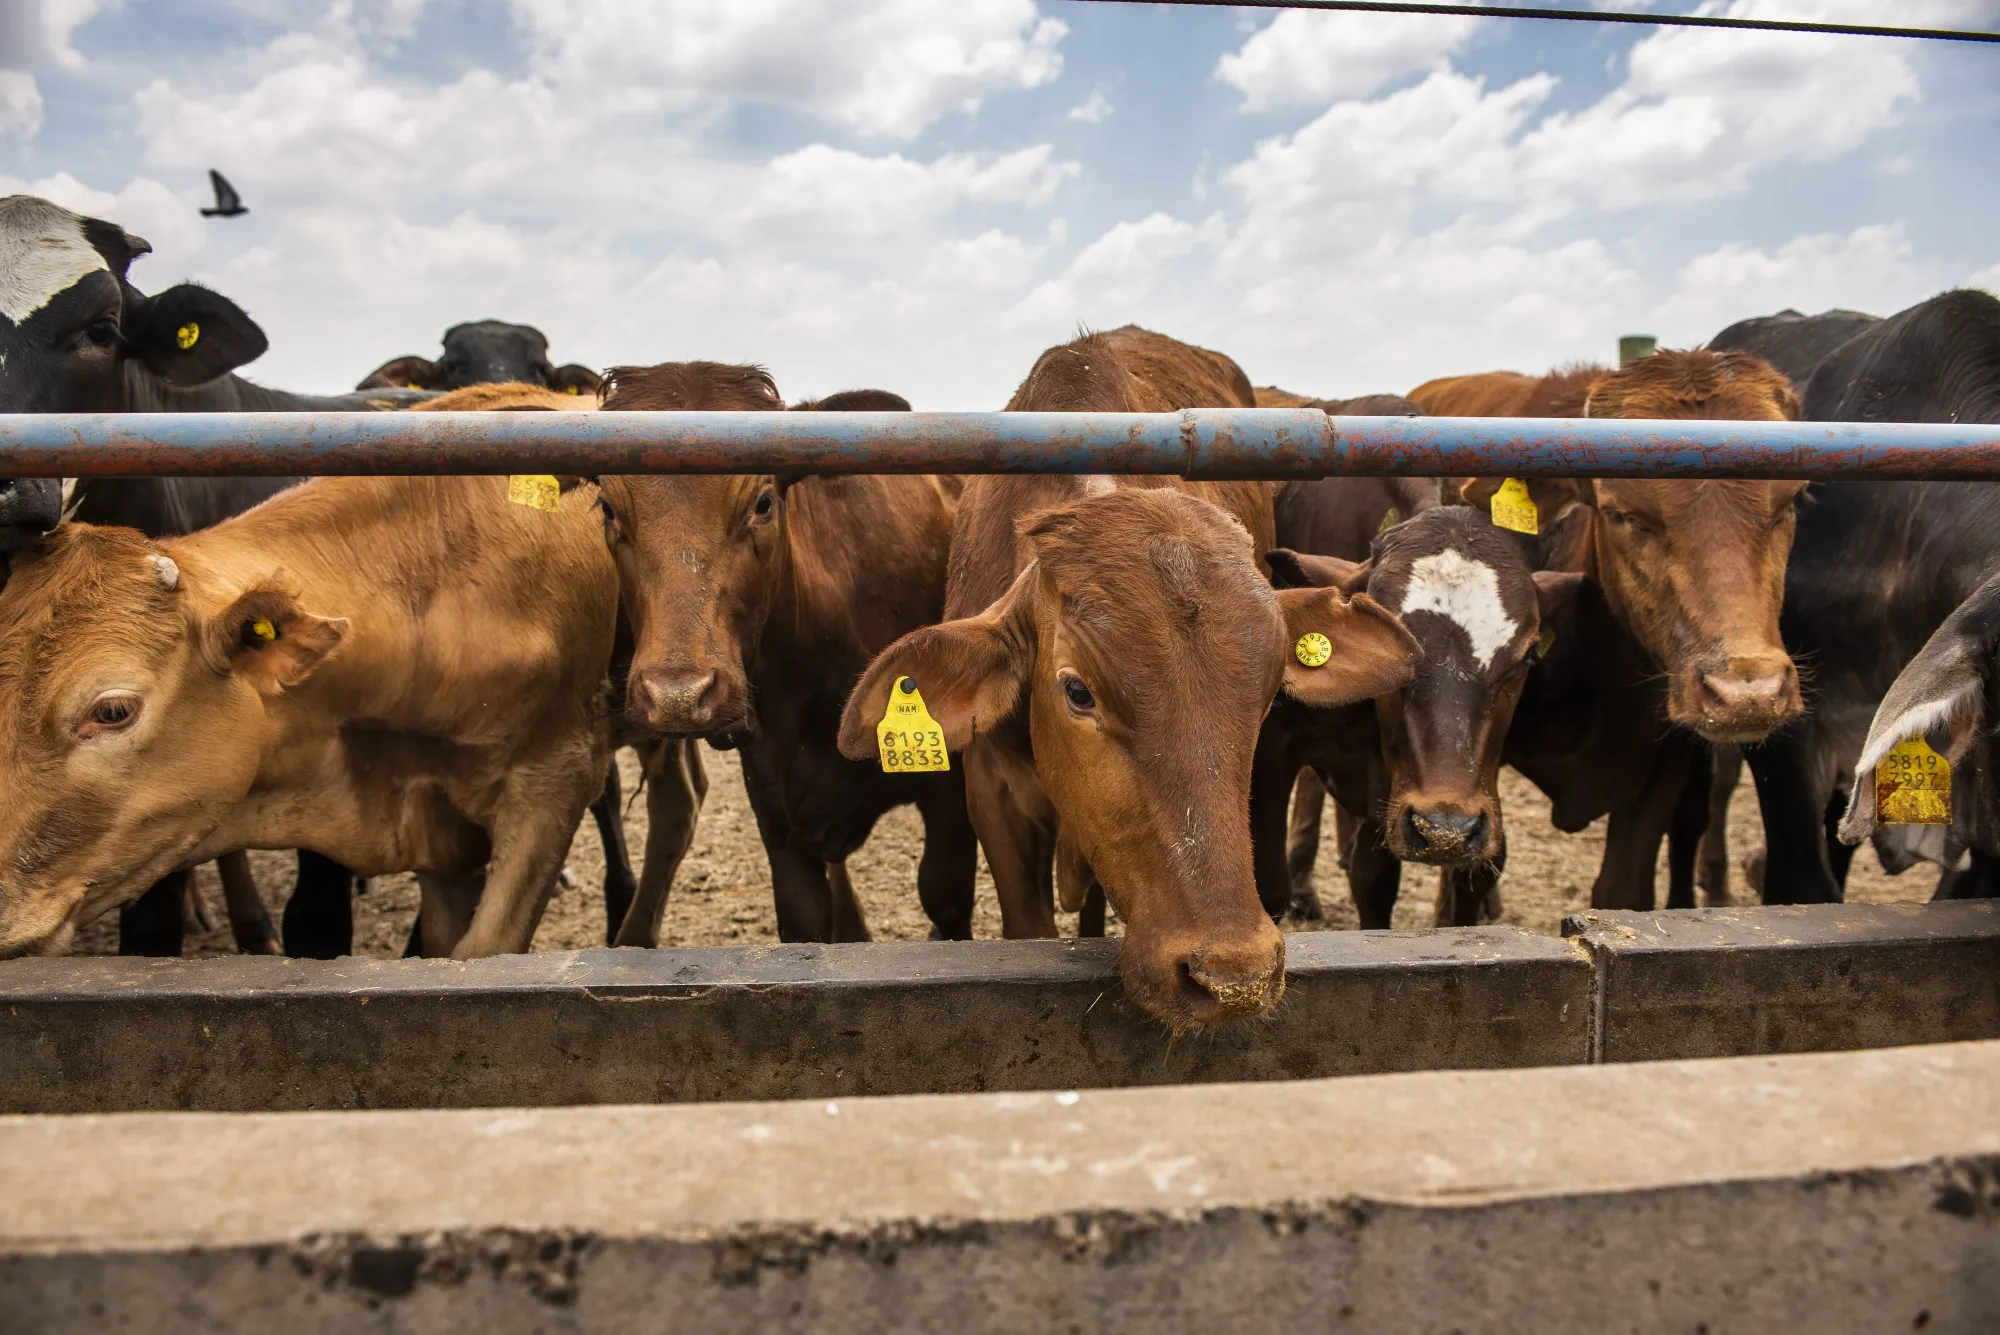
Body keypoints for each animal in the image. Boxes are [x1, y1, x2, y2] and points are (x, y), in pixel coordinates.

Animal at [593, 364, 971, 943]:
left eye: (763, 502)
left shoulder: (949, 797)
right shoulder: (778, 816)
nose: (678, 697)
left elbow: (944, 900)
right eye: (609, 509)